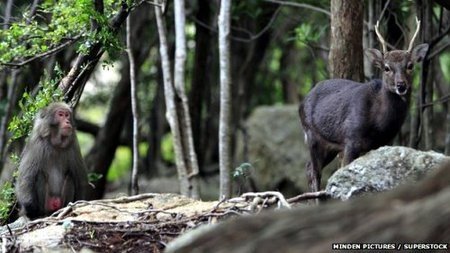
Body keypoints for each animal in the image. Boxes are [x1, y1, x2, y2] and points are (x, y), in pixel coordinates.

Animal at [298, 18, 428, 193]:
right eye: (386, 67)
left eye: (410, 65)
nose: (401, 85)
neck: (379, 123)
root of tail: (302, 101)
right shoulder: (351, 138)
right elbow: (344, 171)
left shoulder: (384, 142)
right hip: (312, 134)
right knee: (314, 171)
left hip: (330, 145)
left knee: (308, 167)